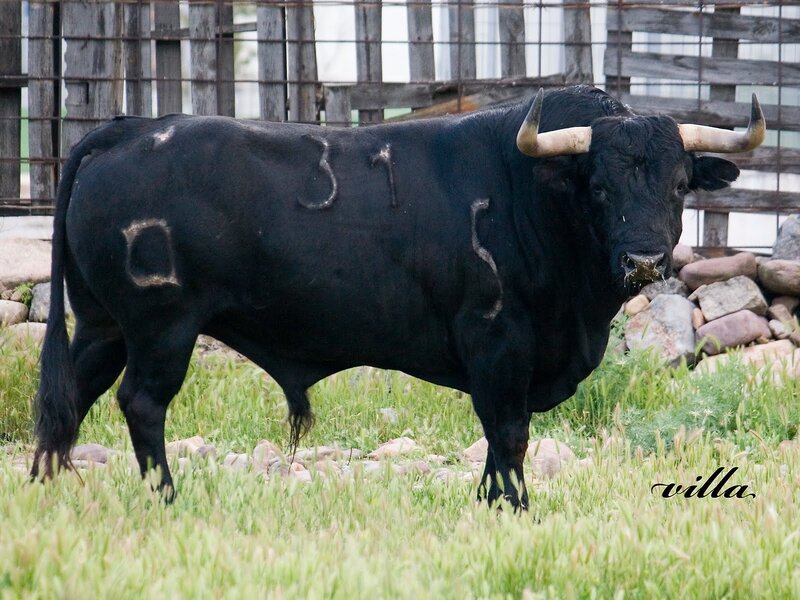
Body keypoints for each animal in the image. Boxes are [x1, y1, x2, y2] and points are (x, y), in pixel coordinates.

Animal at [31, 85, 764, 510]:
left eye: (678, 185)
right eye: (600, 187)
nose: (644, 262)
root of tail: (128, 128)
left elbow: (499, 441)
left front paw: (490, 502)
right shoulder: (497, 343)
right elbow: (508, 433)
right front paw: (512, 506)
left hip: (102, 324)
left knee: (68, 401)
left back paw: (45, 487)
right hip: (162, 326)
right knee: (140, 403)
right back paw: (165, 496)